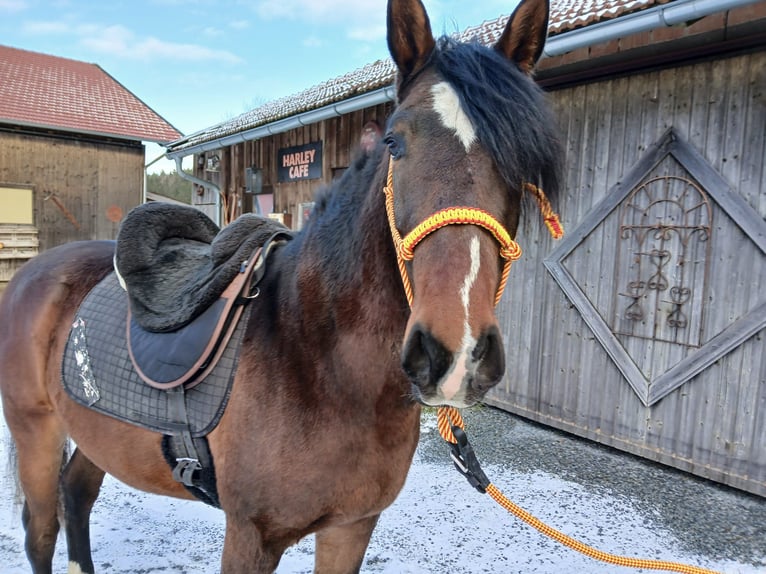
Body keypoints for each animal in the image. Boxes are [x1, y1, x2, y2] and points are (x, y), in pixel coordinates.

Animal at [0, 0, 564, 572]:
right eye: (394, 142)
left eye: (525, 159)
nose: (456, 352)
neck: (320, 358)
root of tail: (33, 271)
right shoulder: (251, 536)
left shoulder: (351, 527)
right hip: (36, 431)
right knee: (41, 530)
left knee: (77, 495)